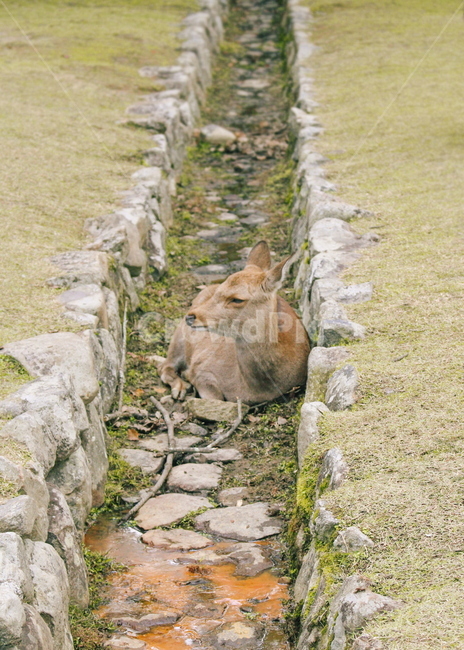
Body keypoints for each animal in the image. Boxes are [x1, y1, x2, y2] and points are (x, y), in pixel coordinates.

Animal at [156, 241, 310, 405]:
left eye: (237, 299)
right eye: (220, 289)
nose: (191, 317)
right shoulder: (202, 368)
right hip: (178, 339)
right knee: (164, 366)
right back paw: (180, 389)